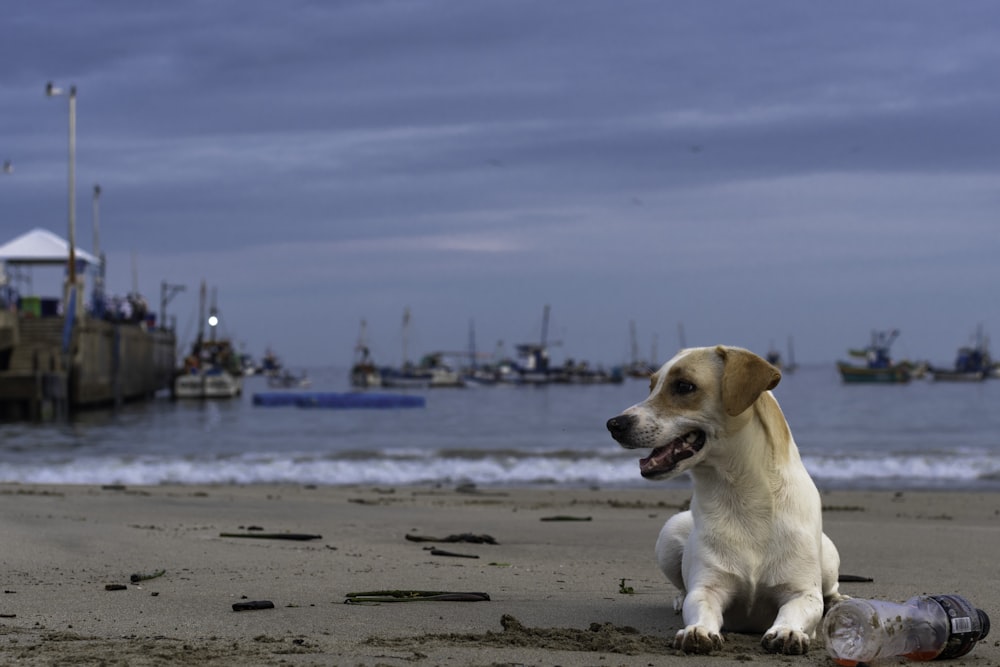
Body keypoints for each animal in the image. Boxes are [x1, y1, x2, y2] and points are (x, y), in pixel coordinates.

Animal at [604, 348, 848, 656]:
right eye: (651, 386)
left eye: (684, 386)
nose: (614, 424)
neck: (743, 497)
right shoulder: (709, 587)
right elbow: (700, 605)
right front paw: (698, 630)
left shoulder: (801, 592)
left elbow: (797, 610)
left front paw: (787, 631)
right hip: (670, 533)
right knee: (683, 586)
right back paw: (678, 598)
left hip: (828, 557)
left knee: (831, 589)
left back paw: (840, 601)